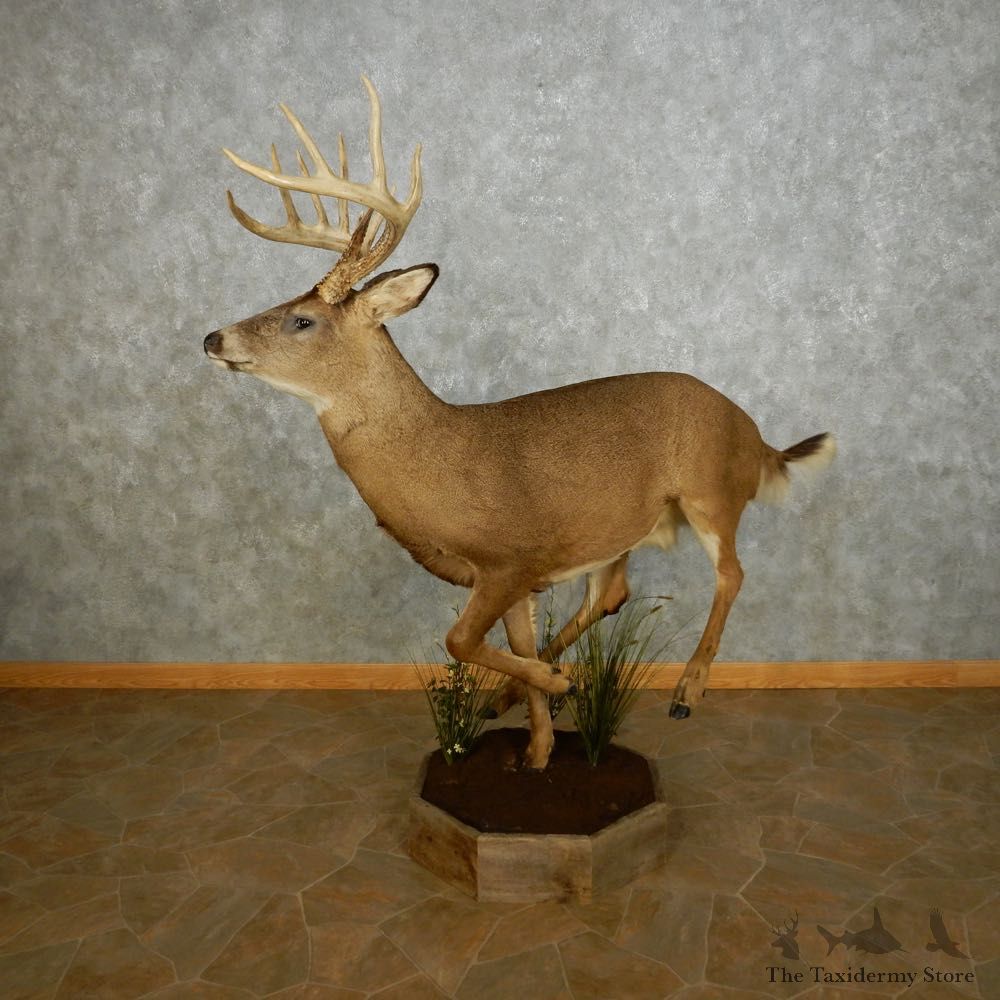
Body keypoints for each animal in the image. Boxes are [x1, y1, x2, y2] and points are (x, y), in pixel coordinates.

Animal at [204, 77, 836, 770]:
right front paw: (537, 744)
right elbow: (514, 645)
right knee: (610, 594)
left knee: (731, 573)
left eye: (302, 320)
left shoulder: (509, 559)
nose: (213, 337)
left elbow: (456, 640)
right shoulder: (520, 574)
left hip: (710, 491)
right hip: (620, 526)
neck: (438, 464)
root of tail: (756, 436)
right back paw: (511, 698)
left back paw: (686, 691)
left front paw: (555, 691)